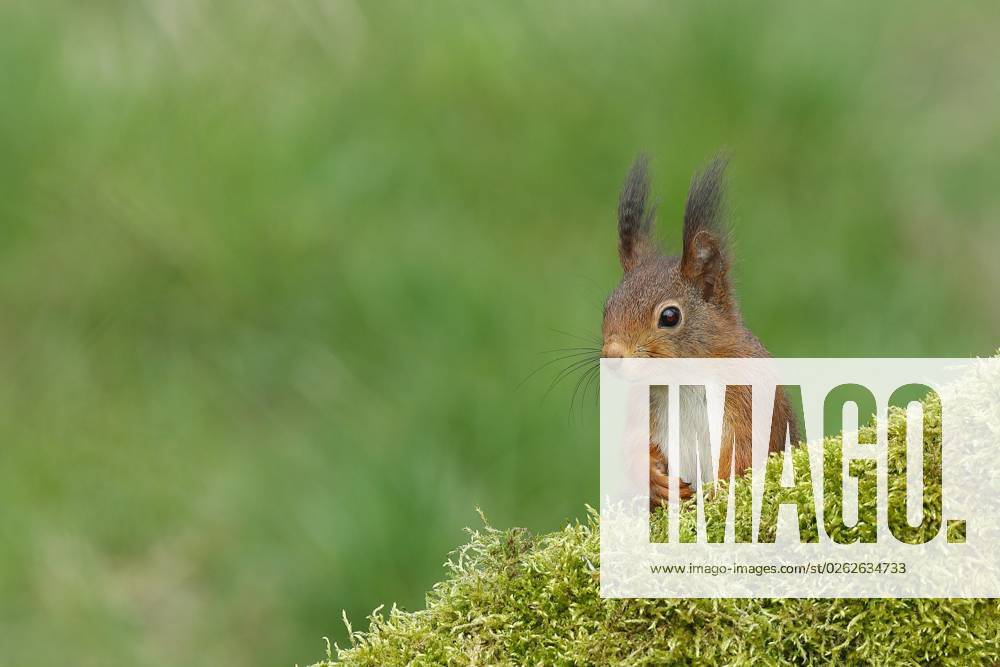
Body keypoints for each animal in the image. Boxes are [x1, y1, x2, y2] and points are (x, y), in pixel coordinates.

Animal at [601, 154, 798, 507]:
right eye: (606, 307)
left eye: (670, 316)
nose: (612, 356)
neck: (684, 379)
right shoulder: (643, 406)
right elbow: (632, 447)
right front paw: (654, 479)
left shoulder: (752, 393)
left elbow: (747, 450)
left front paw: (721, 489)